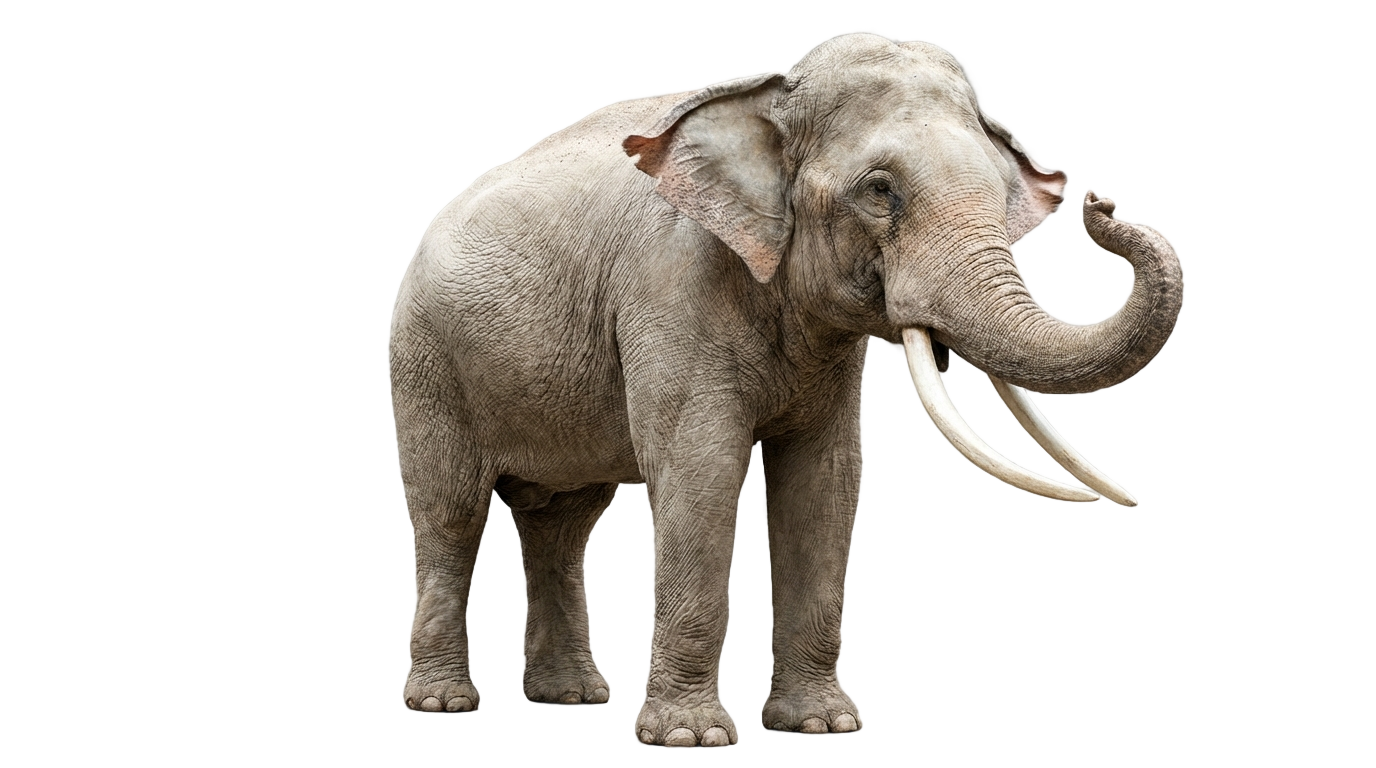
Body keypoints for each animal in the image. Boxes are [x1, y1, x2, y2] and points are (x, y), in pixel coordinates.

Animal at [387, 33, 1180, 746]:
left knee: (562, 521)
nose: (1101, 205)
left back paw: (571, 698)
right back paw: (443, 705)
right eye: (880, 191)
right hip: (428, 361)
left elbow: (823, 479)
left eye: (1001, 188)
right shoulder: (670, 289)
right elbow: (700, 470)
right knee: (450, 510)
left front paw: (824, 727)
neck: (770, 100)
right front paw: (690, 739)